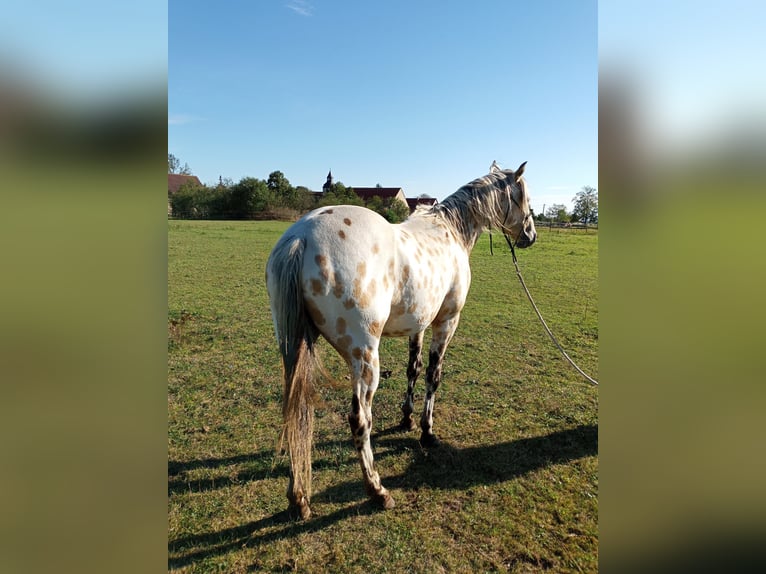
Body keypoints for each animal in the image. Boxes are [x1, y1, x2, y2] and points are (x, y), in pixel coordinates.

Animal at [268, 160, 536, 520]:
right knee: (359, 419)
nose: (530, 235)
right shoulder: (445, 323)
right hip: (365, 358)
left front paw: (407, 419)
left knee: (297, 411)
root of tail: (301, 238)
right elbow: (433, 375)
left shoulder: (418, 325)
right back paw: (378, 491)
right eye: (524, 196)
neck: (451, 231)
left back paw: (299, 498)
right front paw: (426, 431)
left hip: (294, 350)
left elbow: (413, 369)